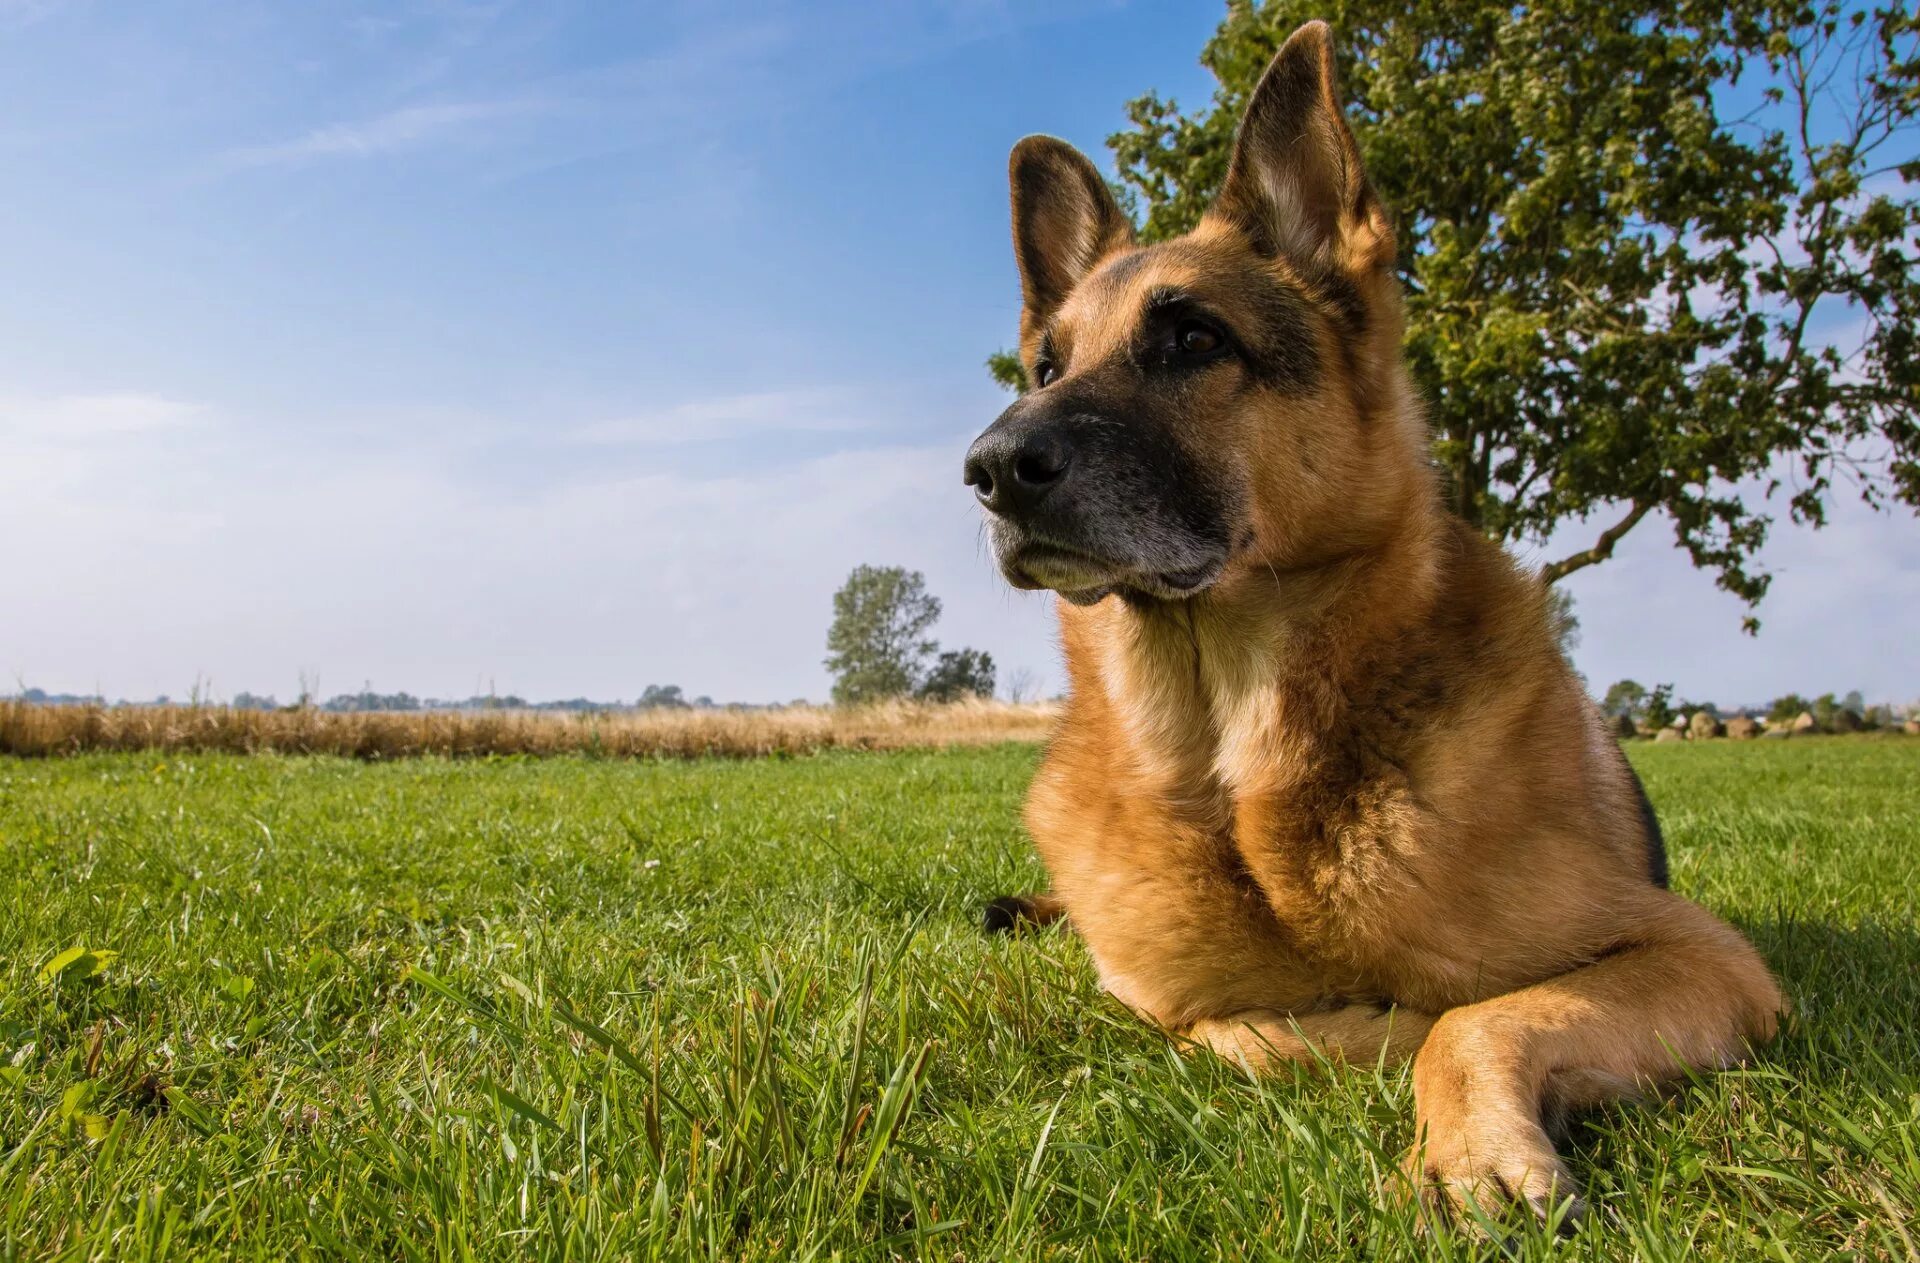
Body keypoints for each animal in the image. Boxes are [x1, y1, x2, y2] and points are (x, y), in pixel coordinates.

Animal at [960, 19, 1781, 1220]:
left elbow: (1473, 1015)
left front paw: (1465, 1145)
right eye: (1047, 366)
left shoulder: (1707, 957)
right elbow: (1242, 1030)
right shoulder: (1163, 1003)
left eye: (1193, 339)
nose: (989, 470)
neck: (1235, 774)